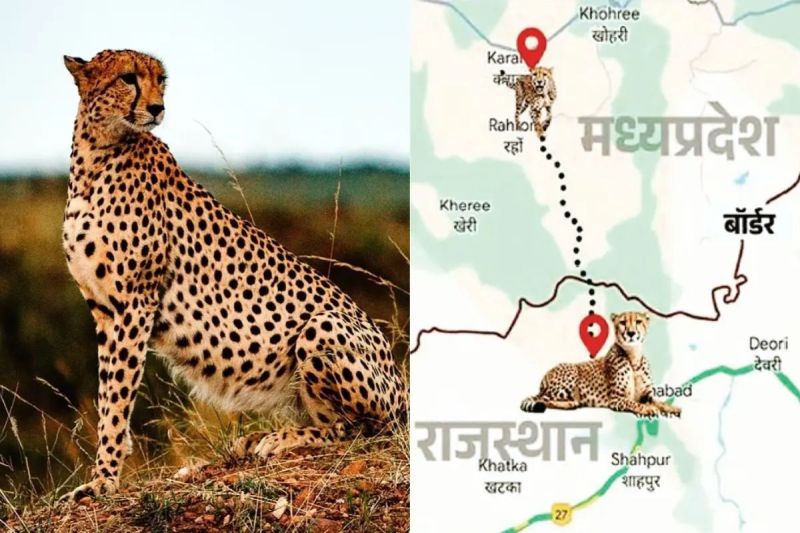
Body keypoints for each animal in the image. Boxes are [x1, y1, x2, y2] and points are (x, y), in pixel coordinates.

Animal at [59, 49, 407, 502]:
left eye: (161, 80)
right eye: (128, 78)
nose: (157, 108)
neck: (97, 153)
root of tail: (401, 386)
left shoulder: (134, 304)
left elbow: (117, 398)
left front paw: (103, 480)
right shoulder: (104, 309)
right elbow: (107, 395)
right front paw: (103, 474)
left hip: (324, 327)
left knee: (361, 429)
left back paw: (280, 438)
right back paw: (254, 439)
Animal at [520, 311, 681, 418]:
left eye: (638, 322)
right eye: (623, 322)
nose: (631, 333)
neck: (633, 358)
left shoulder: (646, 395)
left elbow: (659, 402)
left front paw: (671, 408)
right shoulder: (616, 399)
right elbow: (634, 403)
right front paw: (648, 410)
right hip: (571, 370)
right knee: (543, 400)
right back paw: (570, 404)